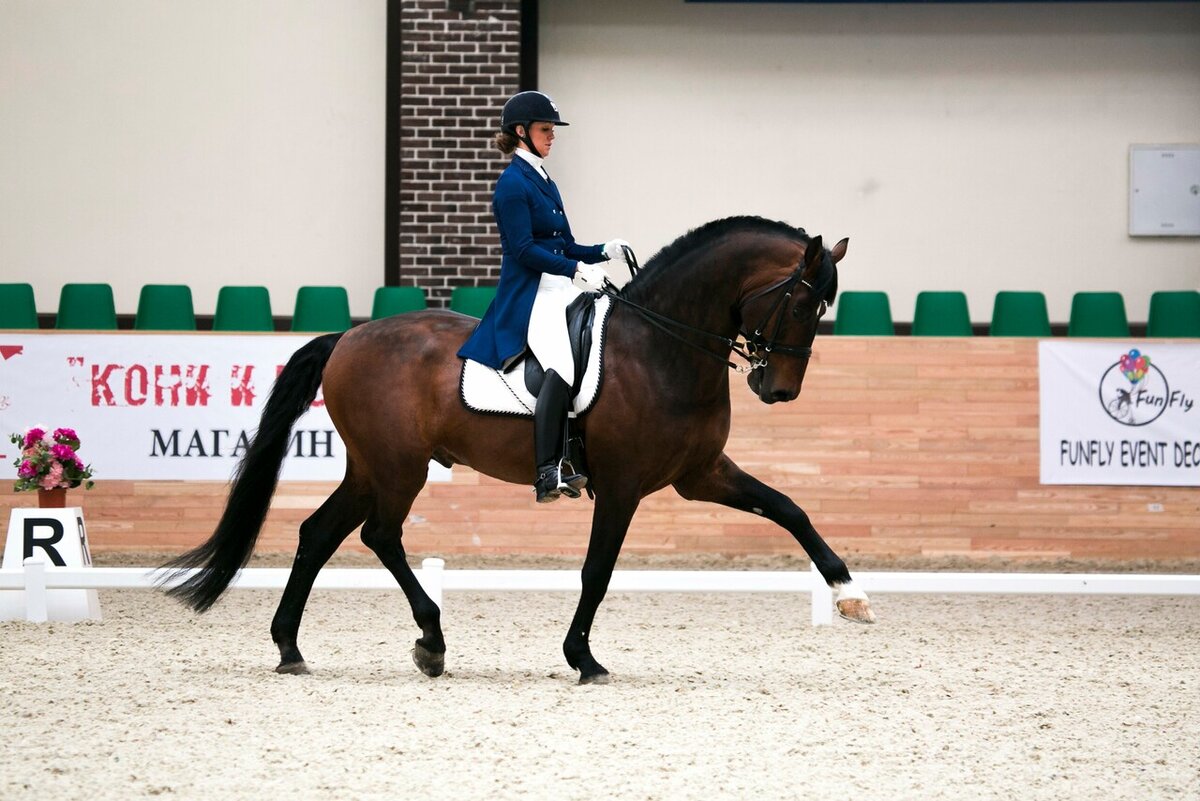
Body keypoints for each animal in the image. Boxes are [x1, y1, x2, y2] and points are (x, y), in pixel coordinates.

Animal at [162, 215, 873, 685]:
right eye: (801, 301)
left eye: (823, 308)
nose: (779, 390)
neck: (659, 349)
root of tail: (349, 337)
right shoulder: (622, 487)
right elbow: (597, 571)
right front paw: (583, 659)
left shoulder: (701, 474)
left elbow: (789, 509)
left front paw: (849, 593)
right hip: (399, 468)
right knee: (378, 536)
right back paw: (431, 640)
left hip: (372, 467)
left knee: (318, 534)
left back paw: (290, 647)